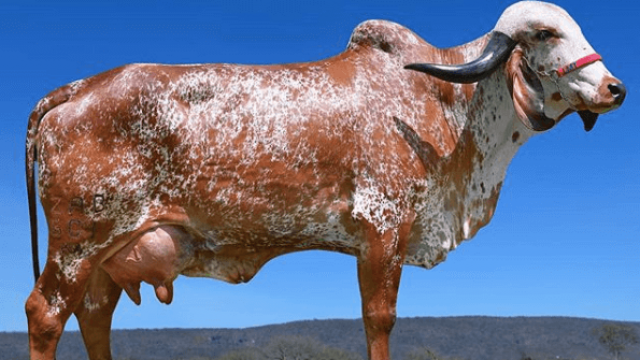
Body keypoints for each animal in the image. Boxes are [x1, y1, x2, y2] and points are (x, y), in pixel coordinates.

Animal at [25, 0, 624, 360]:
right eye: (546, 33)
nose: (615, 88)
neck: (445, 102)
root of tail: (75, 88)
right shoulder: (382, 229)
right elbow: (378, 319)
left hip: (108, 258)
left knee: (94, 317)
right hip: (78, 243)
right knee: (45, 313)